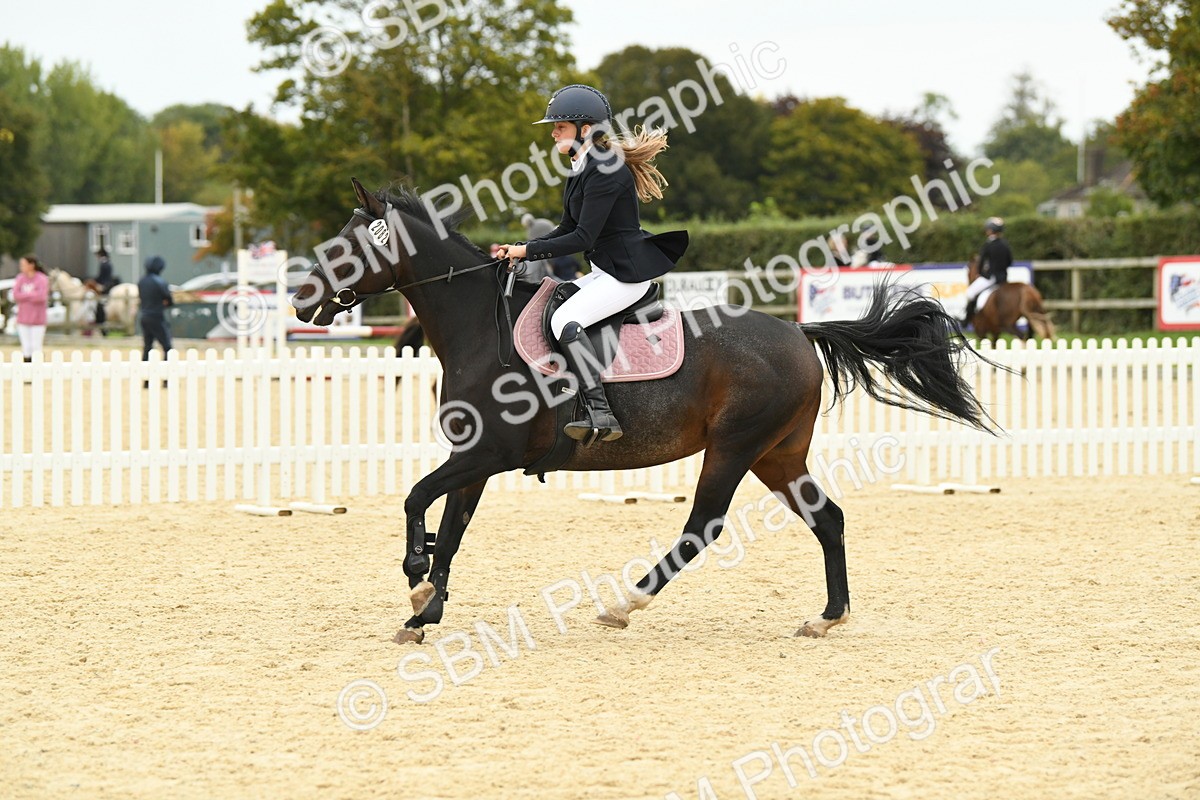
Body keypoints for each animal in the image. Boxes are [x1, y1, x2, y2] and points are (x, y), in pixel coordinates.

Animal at [292, 180, 998, 644]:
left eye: (349, 246)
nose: (301, 300)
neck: (477, 327)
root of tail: (799, 332)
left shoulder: (489, 454)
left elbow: (416, 500)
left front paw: (415, 583)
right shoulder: (475, 460)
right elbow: (451, 529)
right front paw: (424, 613)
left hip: (734, 448)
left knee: (703, 526)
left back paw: (623, 605)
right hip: (777, 455)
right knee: (828, 518)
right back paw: (828, 617)